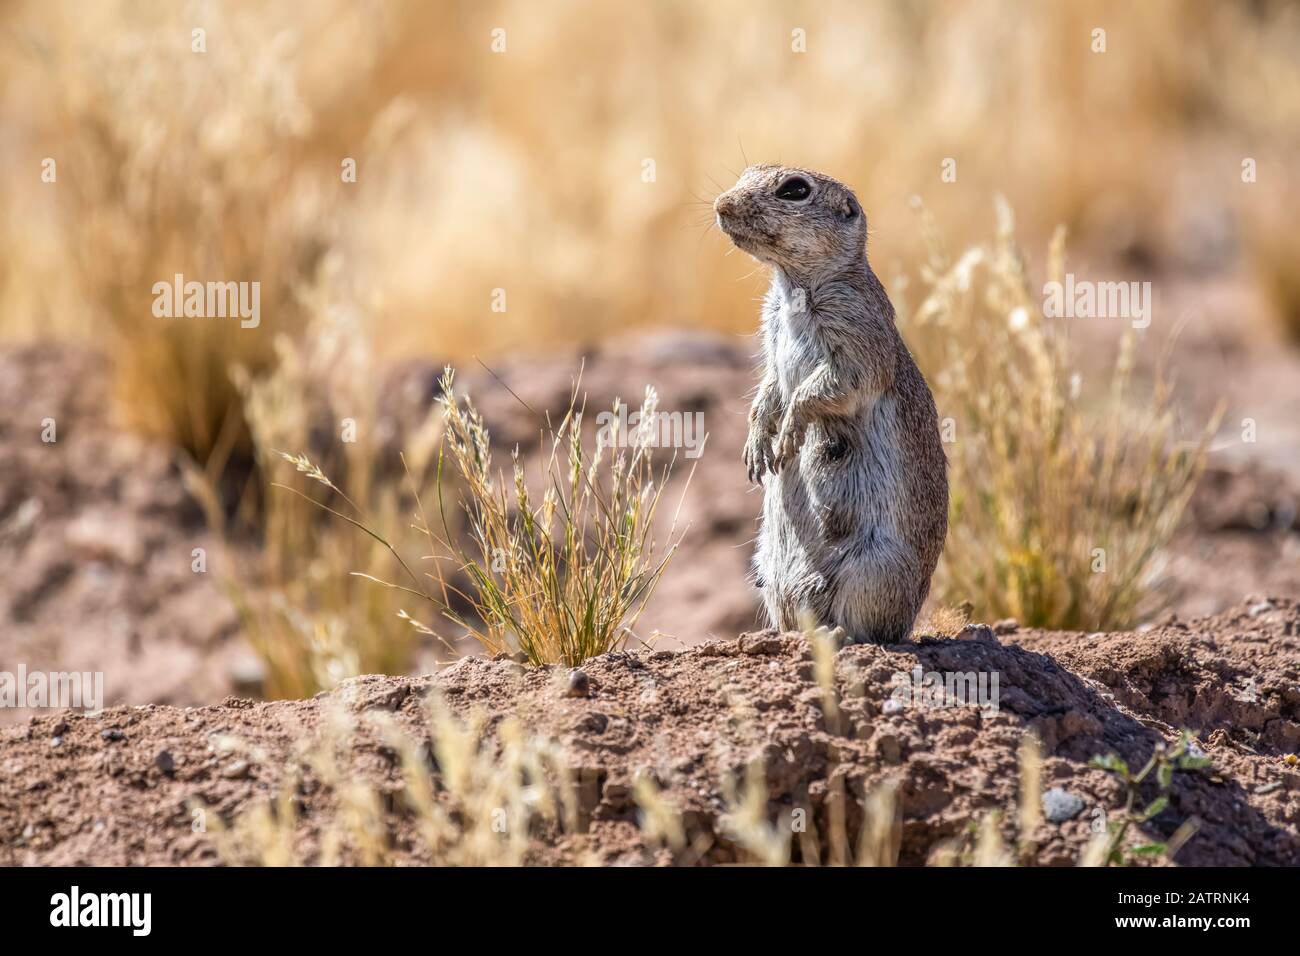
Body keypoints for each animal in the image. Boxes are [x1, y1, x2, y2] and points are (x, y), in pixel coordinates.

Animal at [714, 164, 948, 644]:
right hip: (766, 570)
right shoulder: (771, 336)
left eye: (795, 190)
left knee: (872, 629)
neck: (792, 287)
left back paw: (835, 635)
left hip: (874, 570)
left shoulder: (856, 330)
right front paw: (756, 445)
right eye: (746, 173)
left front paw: (788, 434)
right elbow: (769, 388)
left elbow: (827, 388)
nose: (720, 205)